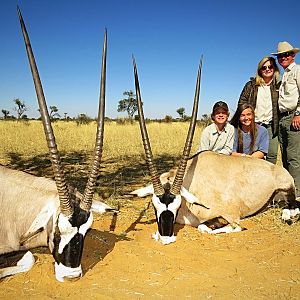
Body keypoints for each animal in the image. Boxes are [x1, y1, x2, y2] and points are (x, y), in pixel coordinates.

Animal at [130, 57, 298, 245]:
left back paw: (288, 217)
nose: (166, 238)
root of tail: (279, 169)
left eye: (178, 205)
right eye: (154, 205)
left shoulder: (232, 216)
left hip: (288, 191)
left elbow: (214, 228)